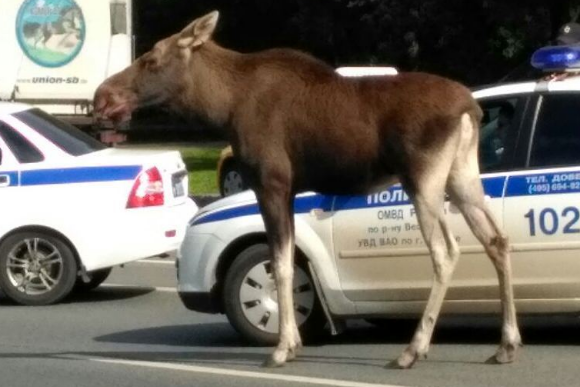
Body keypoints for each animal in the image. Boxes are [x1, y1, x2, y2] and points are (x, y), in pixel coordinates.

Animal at [94, 9, 520, 370]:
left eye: (151, 60)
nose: (102, 96)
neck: (223, 107)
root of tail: (470, 109)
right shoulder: (289, 189)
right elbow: (284, 261)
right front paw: (292, 341)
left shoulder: (272, 182)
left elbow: (280, 265)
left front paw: (283, 347)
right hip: (461, 176)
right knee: (496, 239)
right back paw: (506, 344)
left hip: (423, 177)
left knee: (445, 251)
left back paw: (413, 350)